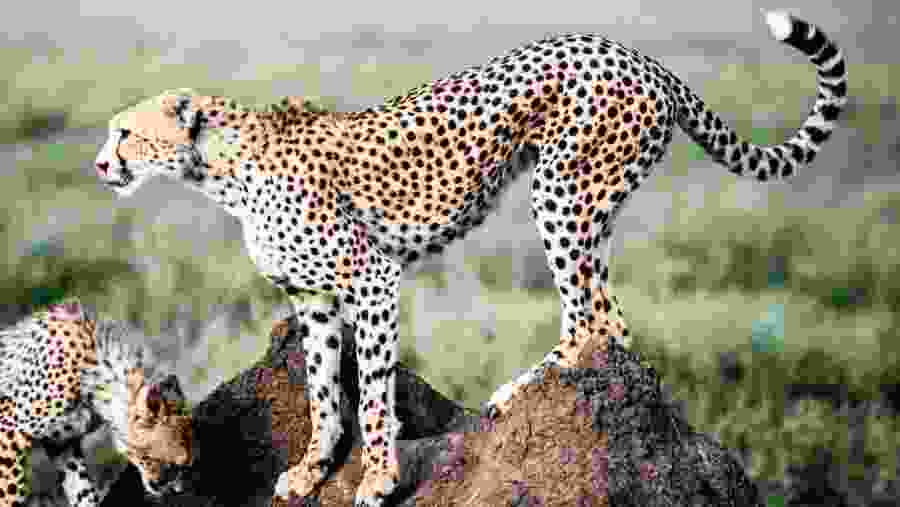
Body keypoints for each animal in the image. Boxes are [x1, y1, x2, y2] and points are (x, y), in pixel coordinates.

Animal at [0, 298, 193, 506]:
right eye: (172, 464)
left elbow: (82, 490)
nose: (173, 488)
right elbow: (9, 492)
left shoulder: (62, 442)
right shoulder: (8, 431)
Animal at [92, 10, 846, 506]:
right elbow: (323, 394)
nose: (100, 164)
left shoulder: (372, 280)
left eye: (125, 132)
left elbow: (372, 394)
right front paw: (311, 469)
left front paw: (377, 478)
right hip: (587, 204)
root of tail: (633, 54)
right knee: (612, 321)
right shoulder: (312, 302)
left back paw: (517, 392)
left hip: (561, 190)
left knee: (593, 318)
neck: (221, 170)